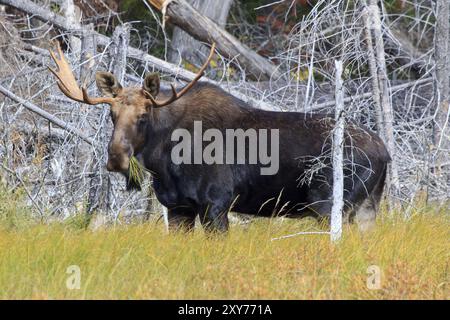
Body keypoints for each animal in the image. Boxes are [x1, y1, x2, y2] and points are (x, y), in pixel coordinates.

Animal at [48, 42, 390, 232]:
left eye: (144, 116)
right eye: (111, 114)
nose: (116, 158)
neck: (165, 162)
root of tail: (385, 153)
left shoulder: (217, 203)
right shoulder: (178, 208)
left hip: (331, 203)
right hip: (366, 207)